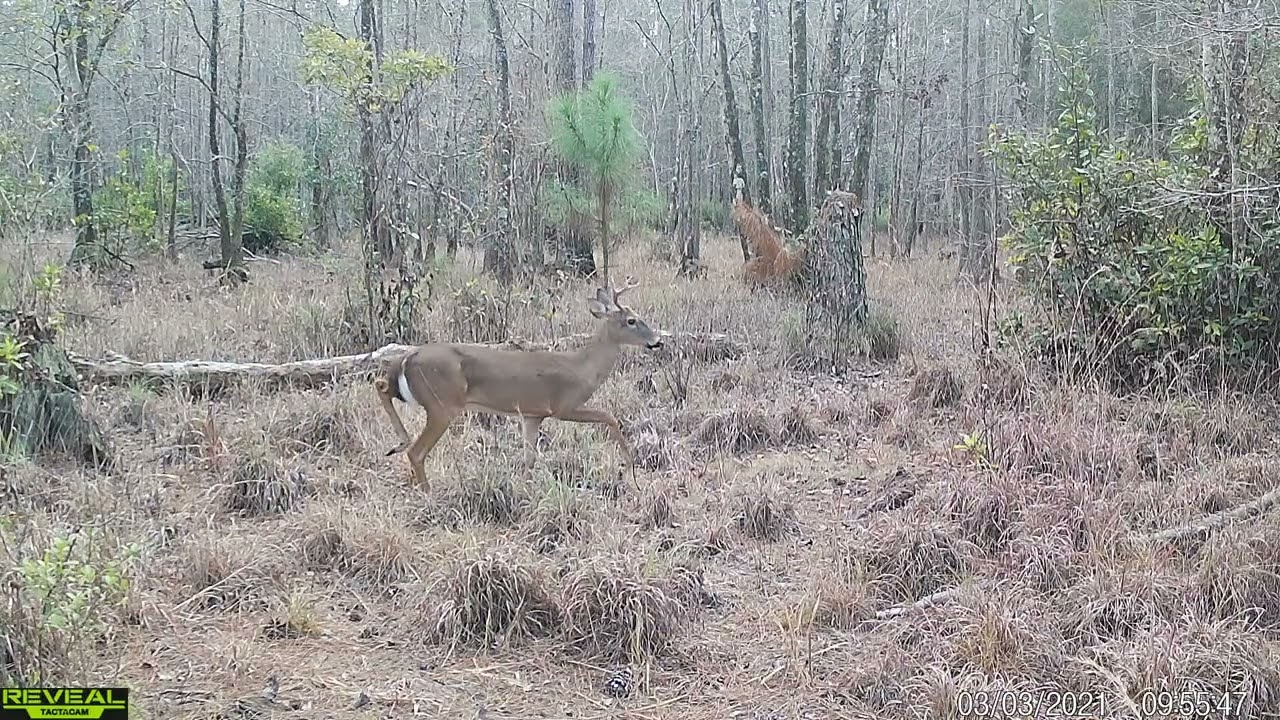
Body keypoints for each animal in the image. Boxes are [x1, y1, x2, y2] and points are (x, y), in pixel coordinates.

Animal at [372, 276, 665, 488]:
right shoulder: (563, 406)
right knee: (417, 451)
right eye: (631, 320)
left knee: (381, 385)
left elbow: (529, 458)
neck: (584, 368)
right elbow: (609, 416)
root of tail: (409, 357)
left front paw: (525, 489)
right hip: (442, 404)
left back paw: (399, 444)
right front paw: (628, 468)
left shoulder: (532, 415)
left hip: (425, 397)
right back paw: (426, 490)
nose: (658, 340)